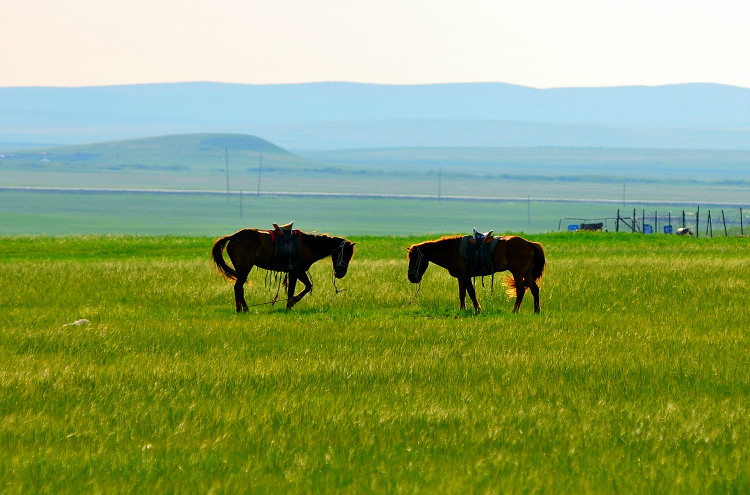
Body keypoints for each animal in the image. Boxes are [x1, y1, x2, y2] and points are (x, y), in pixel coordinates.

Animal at [210, 229, 354, 310]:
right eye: (346, 254)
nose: (341, 273)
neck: (309, 245)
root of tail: (233, 237)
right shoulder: (296, 271)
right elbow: (295, 290)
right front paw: (291, 303)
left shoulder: (297, 272)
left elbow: (306, 286)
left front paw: (291, 303)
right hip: (245, 269)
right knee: (238, 287)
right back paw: (241, 309)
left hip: (242, 271)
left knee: (240, 288)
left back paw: (244, 309)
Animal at [408, 236, 548, 314]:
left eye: (414, 258)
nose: (411, 277)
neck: (452, 251)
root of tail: (530, 243)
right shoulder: (461, 277)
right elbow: (462, 294)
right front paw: (462, 309)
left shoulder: (465, 276)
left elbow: (471, 292)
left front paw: (477, 309)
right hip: (527, 274)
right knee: (535, 289)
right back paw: (536, 310)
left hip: (518, 273)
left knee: (520, 291)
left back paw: (514, 311)